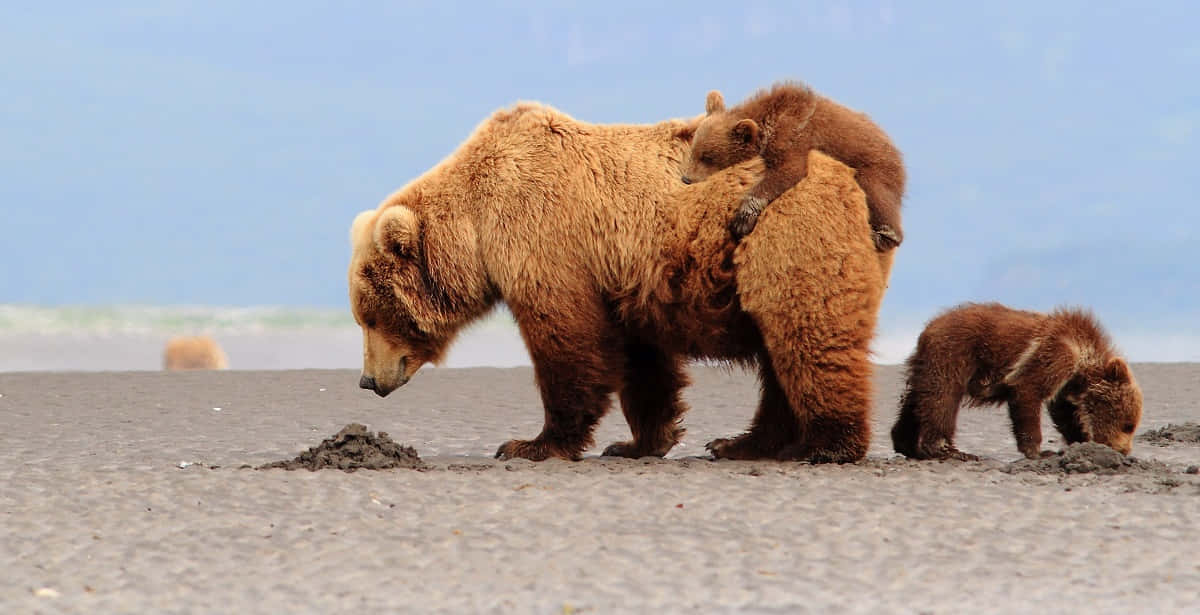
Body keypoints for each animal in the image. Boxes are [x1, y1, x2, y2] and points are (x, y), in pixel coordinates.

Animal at [348, 101, 891, 463]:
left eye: (370, 316)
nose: (367, 380)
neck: (478, 228)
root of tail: (855, 177)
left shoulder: (547, 241)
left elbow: (567, 344)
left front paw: (532, 443)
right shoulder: (624, 278)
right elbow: (642, 363)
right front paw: (638, 441)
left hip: (784, 235)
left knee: (808, 335)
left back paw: (829, 444)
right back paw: (743, 442)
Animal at [680, 82, 906, 250]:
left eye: (708, 157)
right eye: (694, 150)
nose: (686, 179)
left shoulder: (794, 138)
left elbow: (787, 171)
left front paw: (742, 219)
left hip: (874, 166)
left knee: (879, 197)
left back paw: (881, 235)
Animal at [890, 302, 1143, 461]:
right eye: (1128, 424)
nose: (1124, 451)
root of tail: (928, 329)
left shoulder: (1066, 383)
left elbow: (1065, 413)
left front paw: (1080, 442)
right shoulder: (1055, 354)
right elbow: (1027, 390)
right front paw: (1039, 452)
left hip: (924, 363)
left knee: (917, 398)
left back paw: (905, 442)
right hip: (955, 353)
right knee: (942, 397)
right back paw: (950, 450)